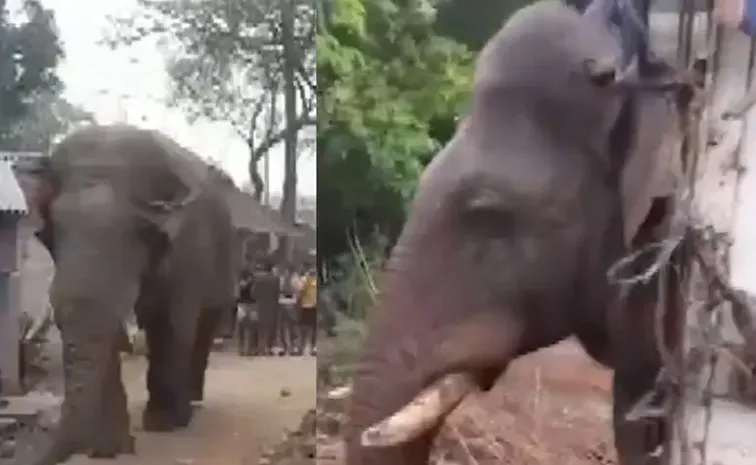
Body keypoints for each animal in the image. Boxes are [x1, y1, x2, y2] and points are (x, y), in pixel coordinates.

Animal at [23, 124, 240, 464]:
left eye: (140, 229)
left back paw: (189, 407)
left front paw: (163, 423)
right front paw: (109, 449)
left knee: (200, 327)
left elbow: (173, 321)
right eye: (56, 226)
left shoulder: (189, 243)